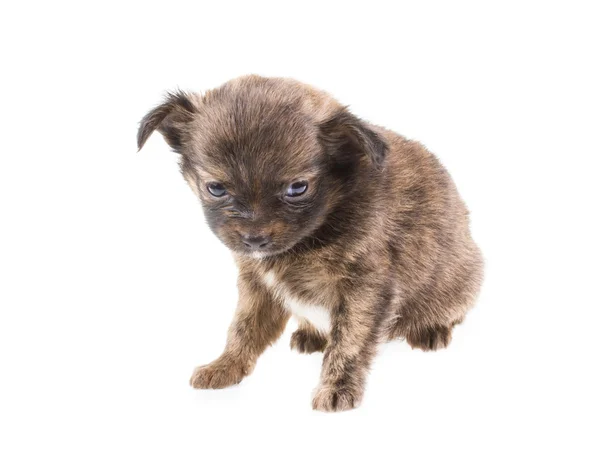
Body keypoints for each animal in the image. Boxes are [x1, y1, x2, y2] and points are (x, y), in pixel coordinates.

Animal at [136, 74, 482, 410]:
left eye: (297, 188)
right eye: (216, 188)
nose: (254, 239)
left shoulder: (365, 290)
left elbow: (348, 342)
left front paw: (337, 387)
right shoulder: (258, 286)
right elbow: (243, 329)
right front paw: (225, 366)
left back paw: (432, 329)